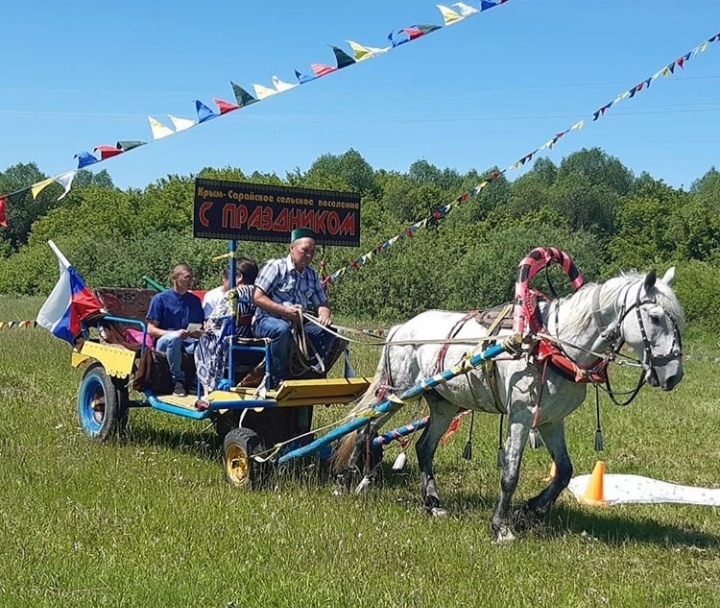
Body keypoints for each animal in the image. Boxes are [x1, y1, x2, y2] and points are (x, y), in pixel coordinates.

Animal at [334, 268, 684, 540]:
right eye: (655, 317)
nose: (674, 376)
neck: (553, 345)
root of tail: (400, 328)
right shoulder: (521, 415)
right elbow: (511, 472)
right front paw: (501, 526)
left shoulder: (551, 420)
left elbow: (564, 471)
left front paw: (531, 511)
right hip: (397, 391)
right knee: (366, 426)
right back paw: (352, 480)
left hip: (444, 404)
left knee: (423, 448)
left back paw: (433, 504)